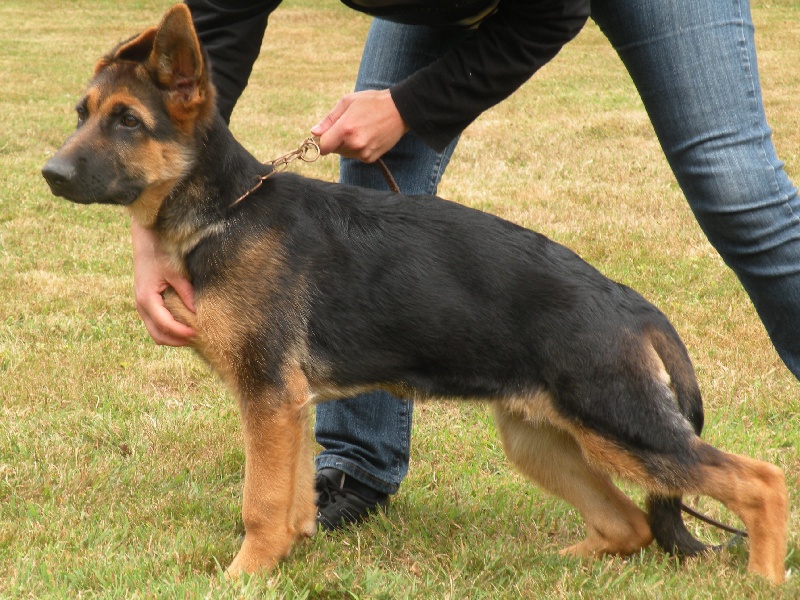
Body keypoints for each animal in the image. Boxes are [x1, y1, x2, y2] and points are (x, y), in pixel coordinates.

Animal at [42, 4, 788, 584]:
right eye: (82, 114)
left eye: (128, 121)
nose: (49, 173)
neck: (228, 207)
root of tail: (632, 304)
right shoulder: (290, 407)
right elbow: (290, 503)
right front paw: (287, 554)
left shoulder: (267, 398)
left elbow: (261, 503)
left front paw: (243, 576)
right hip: (539, 438)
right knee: (629, 523)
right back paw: (555, 565)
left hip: (621, 428)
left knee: (759, 482)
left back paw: (764, 576)